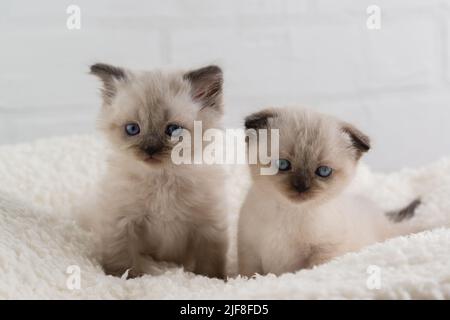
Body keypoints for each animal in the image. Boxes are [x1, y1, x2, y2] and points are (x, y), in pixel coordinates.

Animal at [88, 62, 229, 278]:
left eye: (173, 130)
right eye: (132, 129)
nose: (150, 149)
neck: (162, 180)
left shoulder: (207, 227)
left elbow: (208, 266)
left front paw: (211, 280)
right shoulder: (121, 222)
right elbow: (122, 260)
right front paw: (124, 278)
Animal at [237, 106, 420, 276]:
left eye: (324, 171)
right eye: (282, 164)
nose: (302, 187)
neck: (290, 211)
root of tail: (381, 214)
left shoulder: (325, 249)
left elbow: (314, 269)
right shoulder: (250, 252)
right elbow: (250, 277)